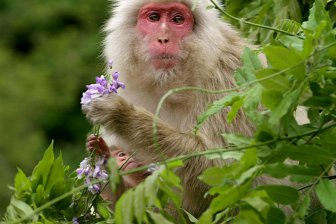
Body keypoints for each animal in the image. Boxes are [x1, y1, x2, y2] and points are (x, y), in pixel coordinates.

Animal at [82, 0, 255, 218]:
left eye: (177, 19)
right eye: (154, 17)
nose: (163, 38)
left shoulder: (230, 78)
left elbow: (225, 172)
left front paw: (122, 115)